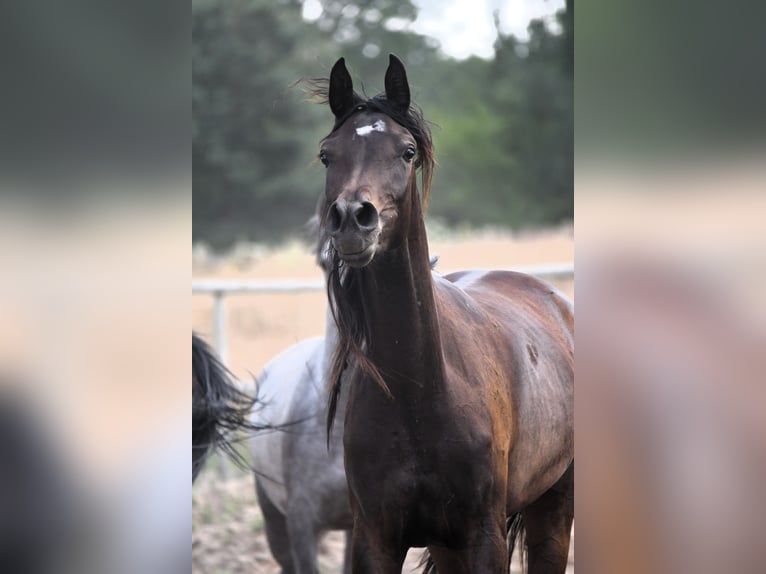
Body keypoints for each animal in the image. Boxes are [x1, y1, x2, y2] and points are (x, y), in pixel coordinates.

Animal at [316, 55, 572, 574]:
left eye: (407, 151)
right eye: (327, 155)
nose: (352, 219)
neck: (420, 390)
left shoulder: (484, 536)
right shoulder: (376, 539)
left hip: (555, 507)